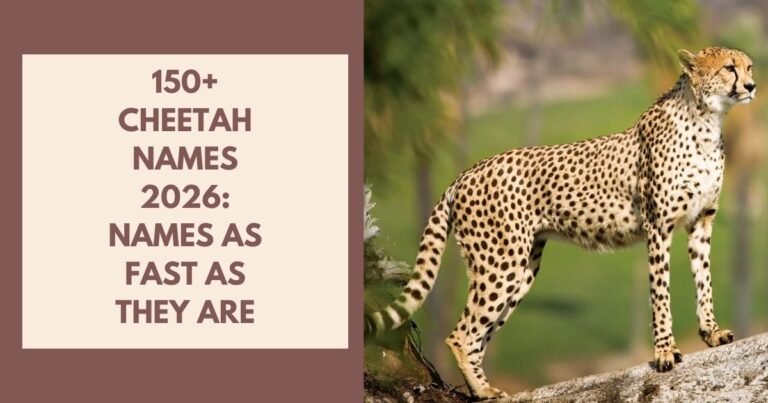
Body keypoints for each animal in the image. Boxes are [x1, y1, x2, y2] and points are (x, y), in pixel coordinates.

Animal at [365, 47, 756, 400]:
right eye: (729, 68)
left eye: (749, 66)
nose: (752, 85)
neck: (706, 122)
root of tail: (465, 173)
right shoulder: (658, 226)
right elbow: (661, 292)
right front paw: (664, 352)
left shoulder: (701, 223)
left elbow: (704, 280)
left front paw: (711, 333)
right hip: (500, 263)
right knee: (461, 335)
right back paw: (484, 390)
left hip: (522, 269)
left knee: (479, 335)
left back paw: (484, 389)